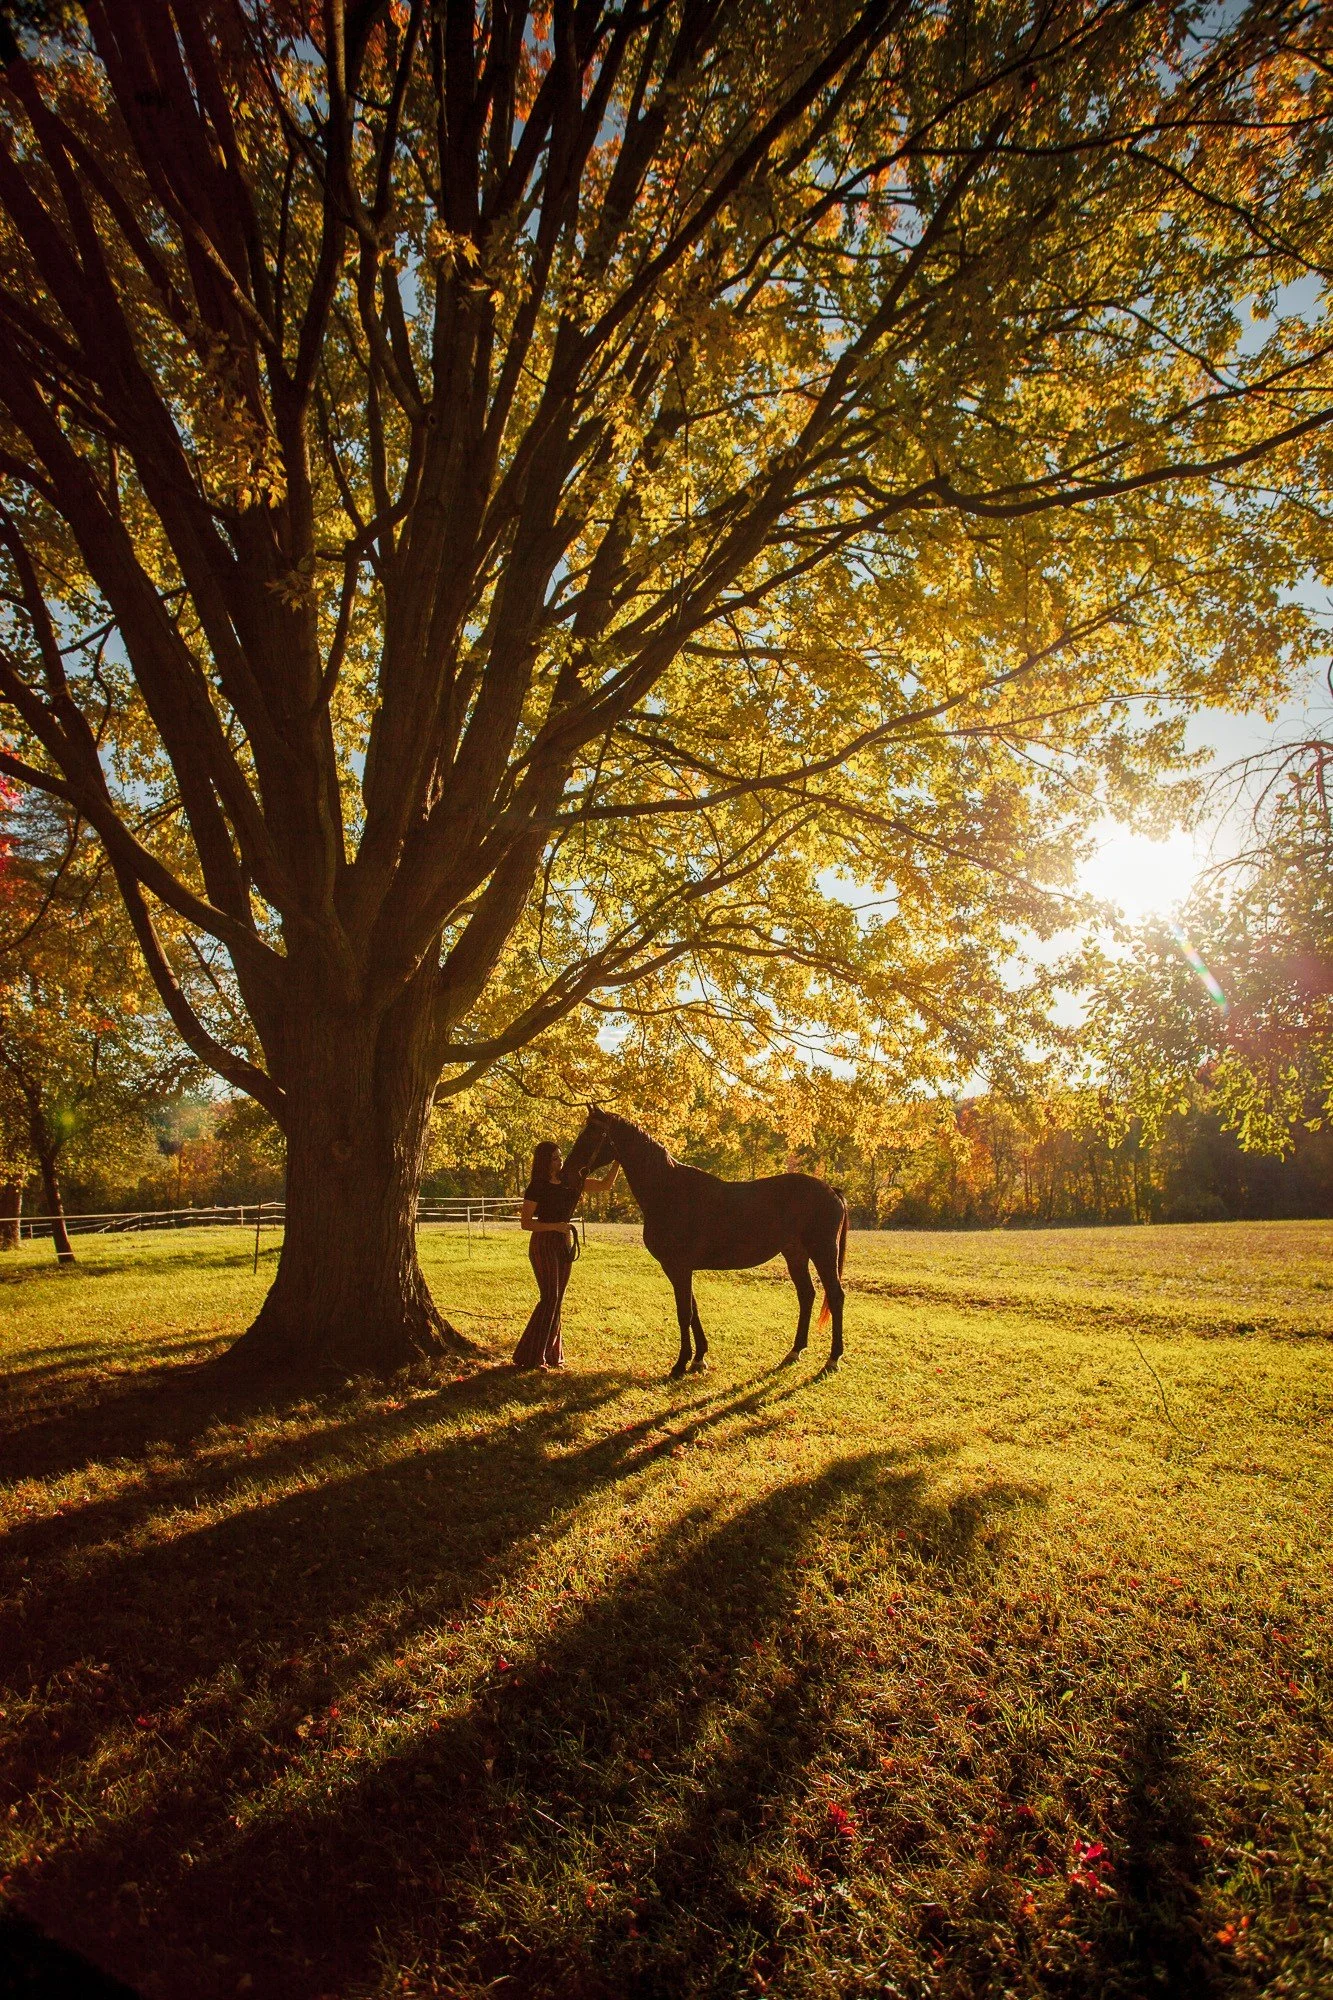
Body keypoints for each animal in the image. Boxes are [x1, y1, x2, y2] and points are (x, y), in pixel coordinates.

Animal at [566, 1108, 848, 1378]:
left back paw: (833, 1359)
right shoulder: (679, 1269)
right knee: (807, 1295)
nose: (568, 1171)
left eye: (593, 1134)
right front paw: (699, 1358)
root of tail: (832, 1190)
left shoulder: (679, 1267)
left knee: (835, 1296)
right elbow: (693, 1309)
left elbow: (684, 1313)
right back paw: (795, 1351)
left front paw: (680, 1364)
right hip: (795, 1254)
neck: (668, 1191)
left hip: (823, 1252)